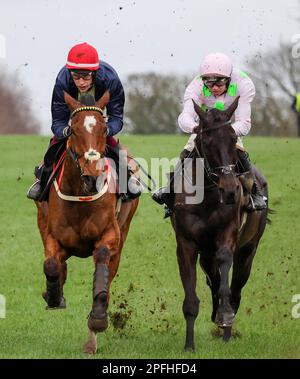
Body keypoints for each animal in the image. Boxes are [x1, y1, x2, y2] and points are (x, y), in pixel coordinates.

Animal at [35, 90, 139, 354]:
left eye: (104, 129)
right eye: (72, 130)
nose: (93, 177)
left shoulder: (110, 235)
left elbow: (100, 277)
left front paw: (98, 320)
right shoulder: (52, 235)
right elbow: (51, 265)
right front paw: (54, 296)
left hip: (123, 233)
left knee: (108, 278)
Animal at [171, 97, 270, 350]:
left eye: (233, 139)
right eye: (206, 141)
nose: (231, 189)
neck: (205, 197)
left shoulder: (228, 235)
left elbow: (225, 267)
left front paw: (225, 317)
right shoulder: (186, 244)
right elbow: (192, 297)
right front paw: (189, 345)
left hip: (248, 250)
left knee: (235, 290)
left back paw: (226, 332)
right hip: (206, 253)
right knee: (213, 279)